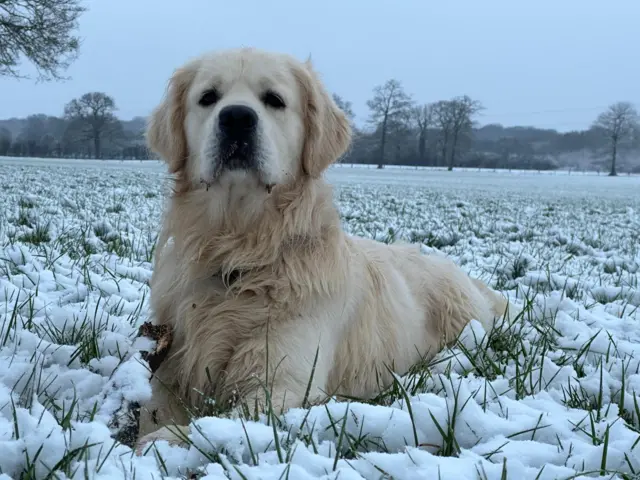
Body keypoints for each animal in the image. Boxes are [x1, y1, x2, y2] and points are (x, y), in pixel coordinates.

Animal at [135, 47, 510, 452]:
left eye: (274, 100)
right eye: (208, 97)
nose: (236, 117)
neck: (240, 250)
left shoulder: (284, 385)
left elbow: (203, 428)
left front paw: (154, 445)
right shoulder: (171, 365)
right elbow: (150, 409)